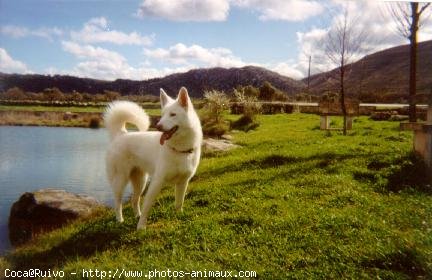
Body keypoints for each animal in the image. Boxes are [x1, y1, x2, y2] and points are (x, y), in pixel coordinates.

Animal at [103, 87, 202, 230]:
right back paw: (120, 219)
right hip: (121, 180)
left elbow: (179, 202)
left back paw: (136, 215)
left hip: (141, 181)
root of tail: (121, 134)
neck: (179, 150)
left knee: (134, 200)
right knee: (118, 202)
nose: (158, 126)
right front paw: (141, 227)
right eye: (162, 114)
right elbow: (147, 206)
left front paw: (179, 215)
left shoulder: (183, 182)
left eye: (173, 114)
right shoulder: (156, 182)